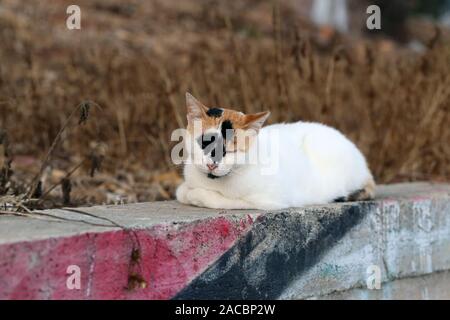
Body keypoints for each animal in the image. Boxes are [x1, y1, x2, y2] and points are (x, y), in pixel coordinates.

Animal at [177, 92, 376, 210]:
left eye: (231, 151)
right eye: (204, 143)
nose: (212, 165)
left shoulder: (268, 200)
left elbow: (222, 200)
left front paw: (196, 195)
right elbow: (182, 191)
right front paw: (186, 190)